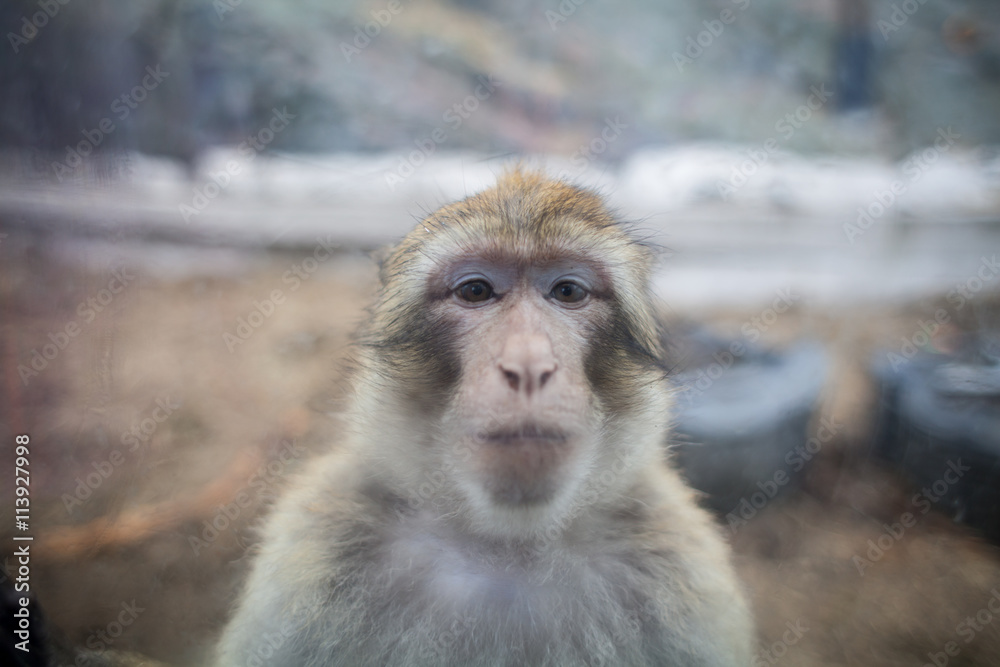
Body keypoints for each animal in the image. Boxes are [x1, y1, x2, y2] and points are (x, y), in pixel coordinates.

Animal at [215, 169, 755, 666]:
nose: (529, 365)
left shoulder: (677, 569)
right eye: (475, 291)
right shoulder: (318, 550)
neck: (509, 547)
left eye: (567, 292)